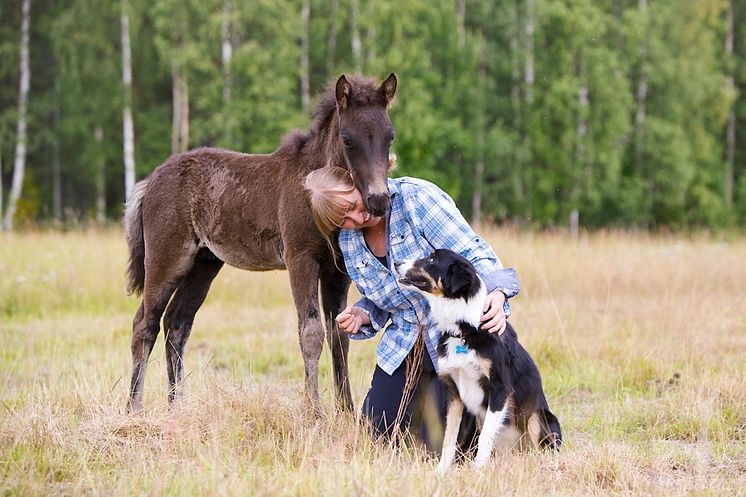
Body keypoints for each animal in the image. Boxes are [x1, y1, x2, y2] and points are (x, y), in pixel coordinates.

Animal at [123, 73, 396, 412]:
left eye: (390, 137)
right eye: (347, 139)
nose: (379, 200)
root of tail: (150, 180)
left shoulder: (338, 271)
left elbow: (340, 335)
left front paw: (345, 412)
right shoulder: (301, 259)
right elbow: (311, 333)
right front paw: (314, 413)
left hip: (203, 264)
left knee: (177, 324)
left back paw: (177, 408)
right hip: (168, 258)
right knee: (144, 324)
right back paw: (134, 411)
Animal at [396, 248, 560, 468]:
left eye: (431, 259)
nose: (396, 262)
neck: (464, 330)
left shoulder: (499, 389)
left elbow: (486, 437)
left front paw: (479, 468)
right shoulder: (454, 392)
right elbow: (449, 437)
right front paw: (442, 470)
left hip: (537, 417)